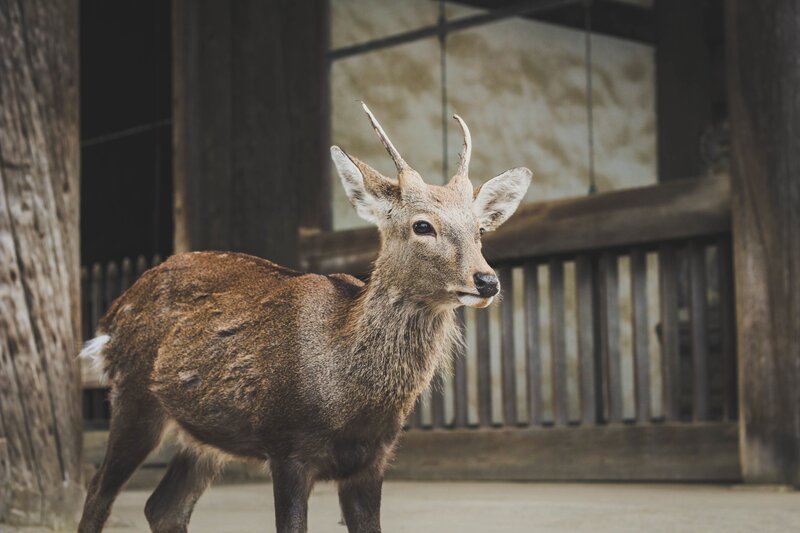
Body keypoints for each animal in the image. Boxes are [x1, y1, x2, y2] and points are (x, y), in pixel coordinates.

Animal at [77, 103, 531, 533]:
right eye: (422, 226)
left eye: (480, 230)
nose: (487, 280)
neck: (346, 394)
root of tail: (112, 316)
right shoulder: (288, 446)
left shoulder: (373, 459)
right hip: (134, 396)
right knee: (98, 490)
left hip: (203, 434)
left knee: (163, 507)